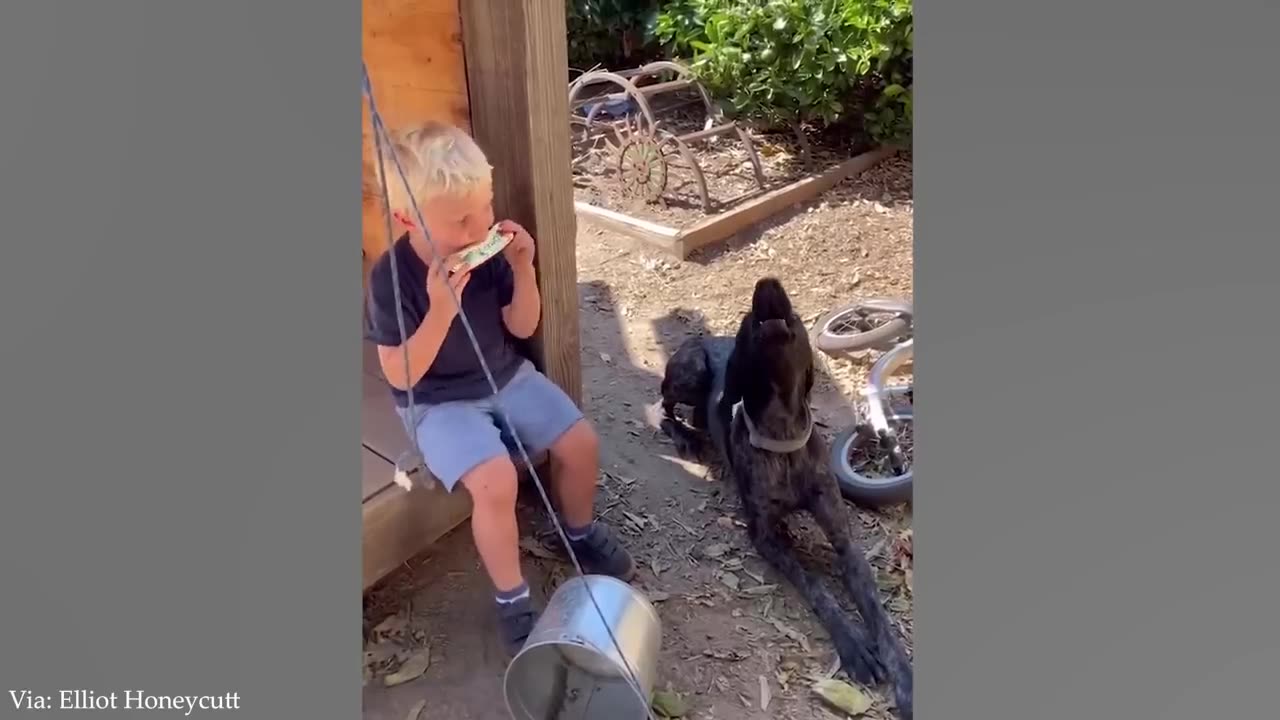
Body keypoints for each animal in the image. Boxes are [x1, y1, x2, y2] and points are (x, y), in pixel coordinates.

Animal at [660, 278, 911, 712]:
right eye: (748, 319)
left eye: (793, 313)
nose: (767, 283)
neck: (784, 439)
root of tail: (705, 336)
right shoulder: (764, 536)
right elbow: (816, 587)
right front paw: (853, 645)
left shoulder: (844, 539)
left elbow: (878, 614)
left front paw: (904, 676)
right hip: (689, 374)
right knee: (664, 408)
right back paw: (685, 437)